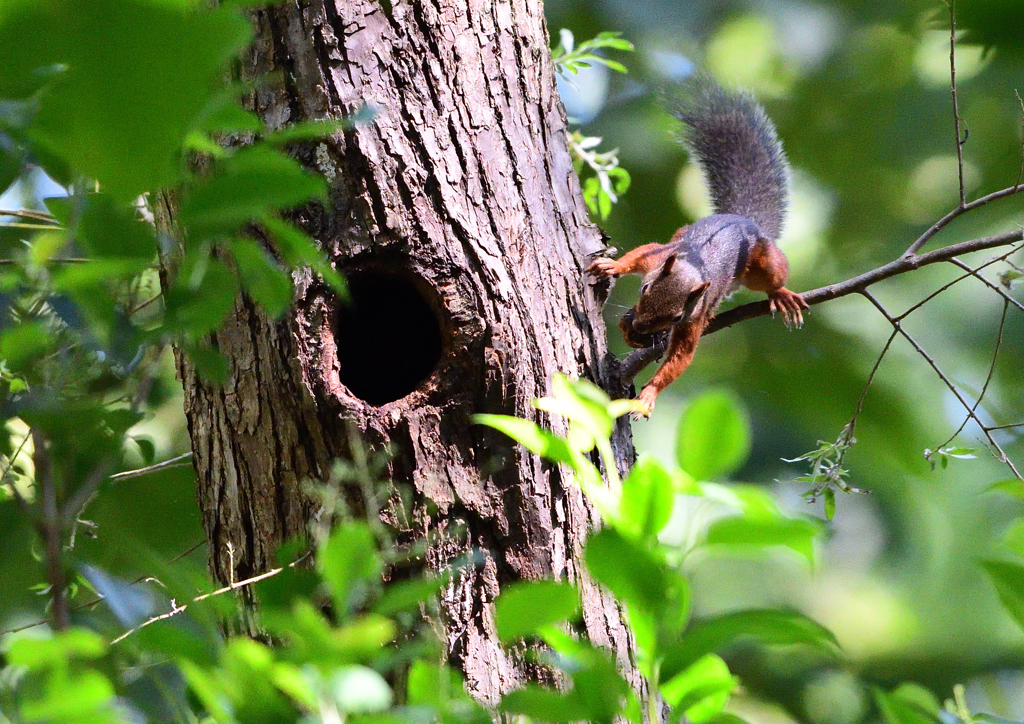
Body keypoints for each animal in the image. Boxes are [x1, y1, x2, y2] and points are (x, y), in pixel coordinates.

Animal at [589, 76, 802, 415]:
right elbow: (640, 253)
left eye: (677, 317)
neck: (693, 266)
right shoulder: (659, 256)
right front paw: (613, 265)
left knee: (773, 277)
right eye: (644, 289)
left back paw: (781, 294)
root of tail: (743, 220)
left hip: (764, 262)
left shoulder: (694, 315)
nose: (641, 326)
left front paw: (648, 396)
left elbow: (681, 357)